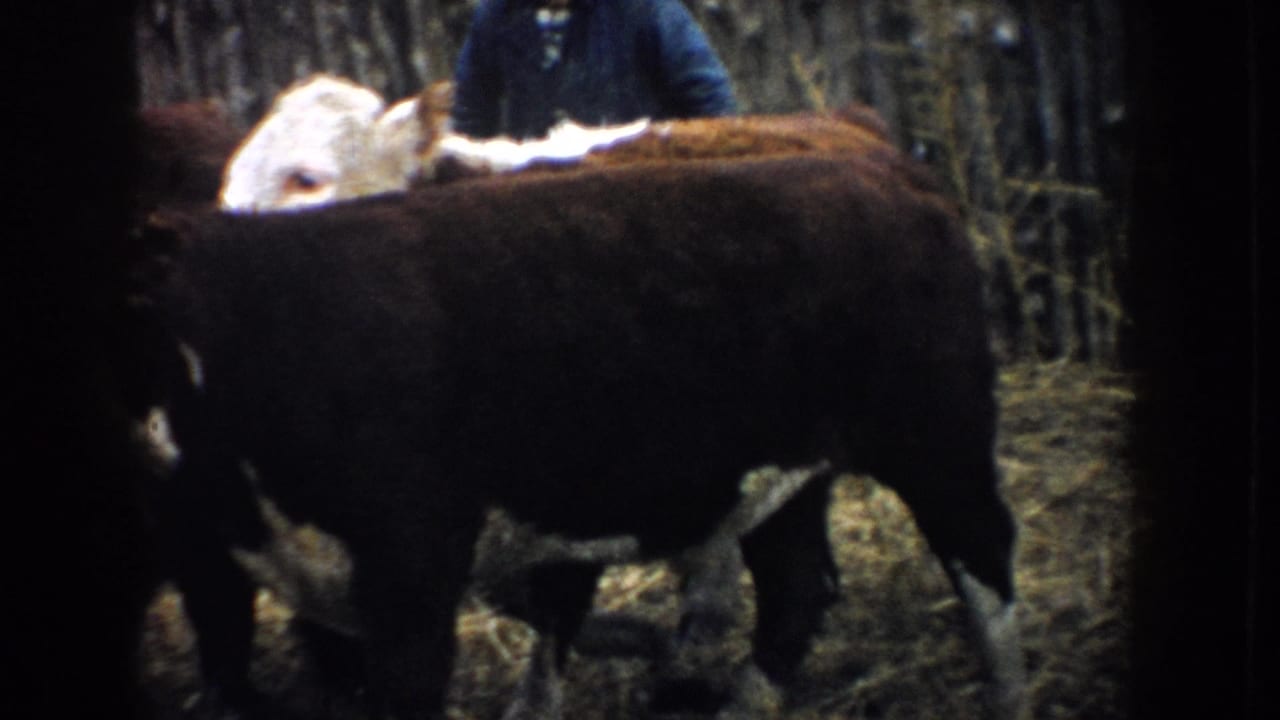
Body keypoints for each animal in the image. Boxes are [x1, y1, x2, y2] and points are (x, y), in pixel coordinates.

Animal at [137, 129, 1027, 719]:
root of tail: (882, 163)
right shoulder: (237, 573)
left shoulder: (411, 571)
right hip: (784, 472)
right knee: (797, 584)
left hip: (939, 435)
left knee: (982, 556)